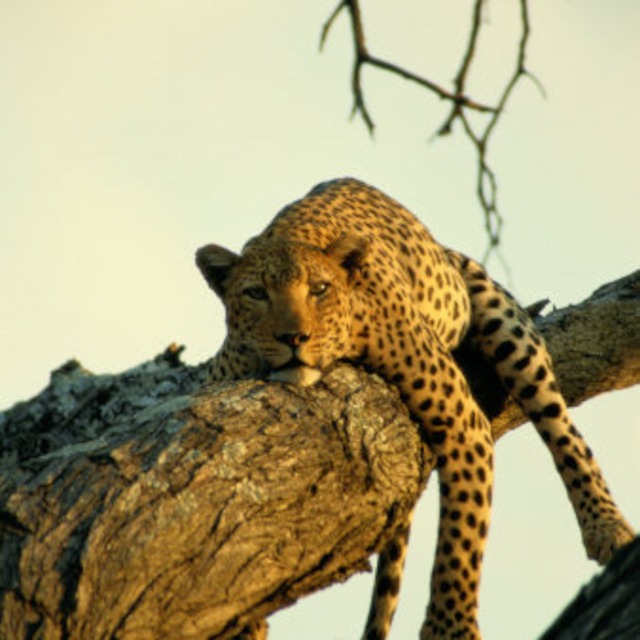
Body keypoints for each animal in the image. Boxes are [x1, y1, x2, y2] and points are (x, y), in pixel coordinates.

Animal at [196, 177, 634, 639]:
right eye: (256, 294)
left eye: (319, 290)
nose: (293, 337)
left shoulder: (462, 419)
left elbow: (462, 536)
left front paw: (452, 626)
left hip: (507, 324)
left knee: (563, 430)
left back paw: (607, 526)